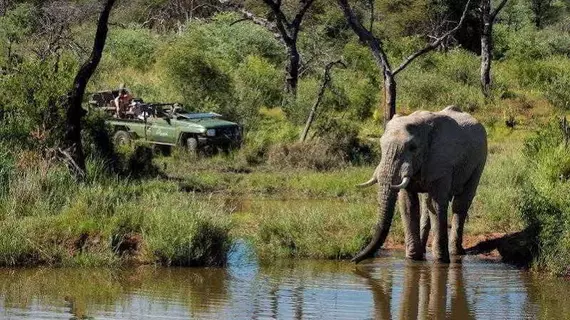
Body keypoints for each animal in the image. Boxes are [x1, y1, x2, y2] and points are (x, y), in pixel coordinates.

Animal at [352, 106, 486, 264]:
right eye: (381, 146)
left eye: (412, 148)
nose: (354, 260)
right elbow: (408, 204)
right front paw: (413, 259)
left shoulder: (441, 163)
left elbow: (436, 204)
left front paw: (441, 261)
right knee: (426, 205)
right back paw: (424, 250)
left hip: (480, 159)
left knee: (460, 203)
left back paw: (456, 252)